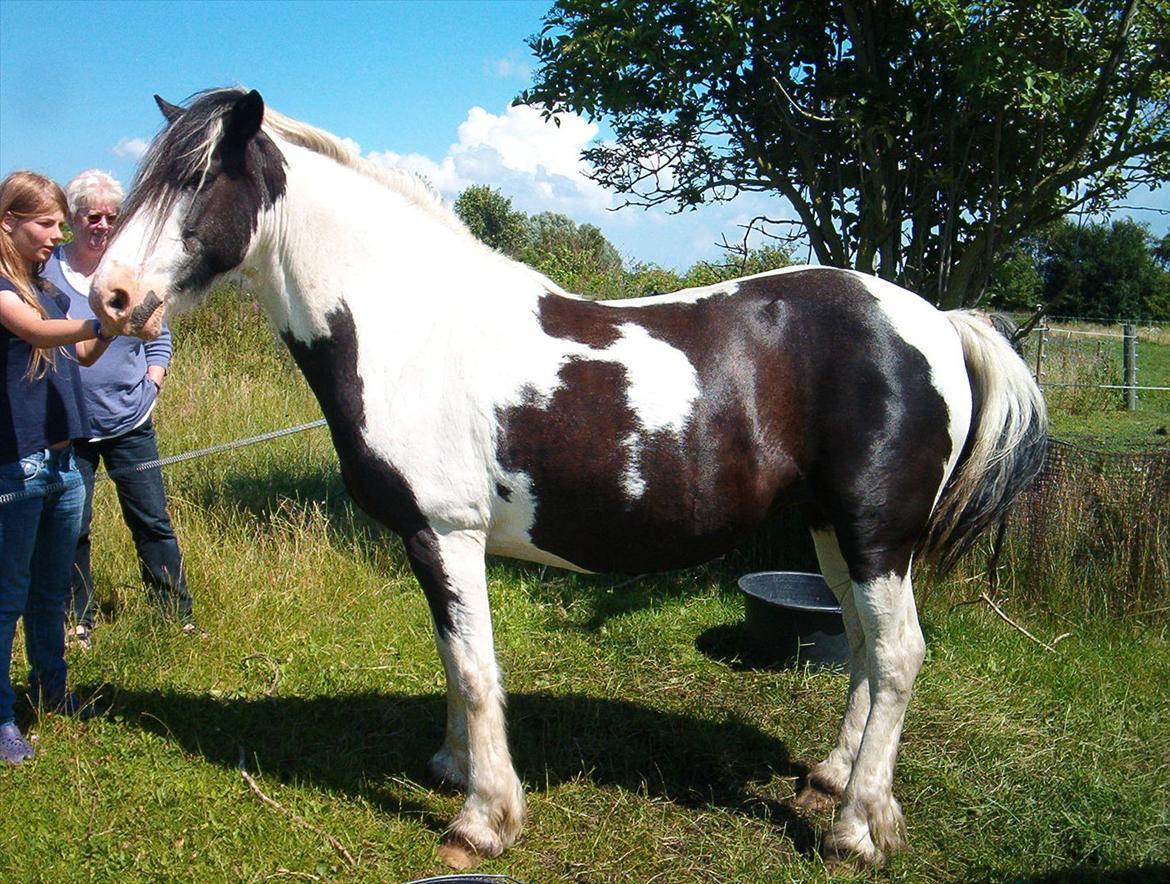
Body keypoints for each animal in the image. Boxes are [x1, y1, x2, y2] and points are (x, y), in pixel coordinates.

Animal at [88, 90, 1043, 869]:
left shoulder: (448, 533)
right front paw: (452, 768)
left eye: (198, 178)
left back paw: (855, 829)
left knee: (899, 653)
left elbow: (476, 670)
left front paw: (483, 820)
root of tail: (937, 321)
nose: (110, 296)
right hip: (834, 530)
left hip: (878, 531)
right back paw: (835, 778)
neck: (409, 326)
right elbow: (452, 656)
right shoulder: (429, 544)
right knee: (865, 648)